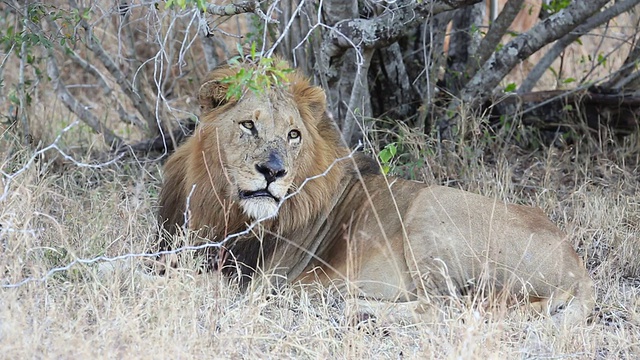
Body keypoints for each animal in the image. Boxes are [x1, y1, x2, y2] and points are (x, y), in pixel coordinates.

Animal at [156, 61, 596, 326]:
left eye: (294, 135)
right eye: (248, 125)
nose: (274, 172)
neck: (224, 205)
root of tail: (578, 268)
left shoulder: (259, 278)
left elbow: (185, 281)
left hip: (428, 212)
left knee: (445, 308)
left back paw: (349, 305)